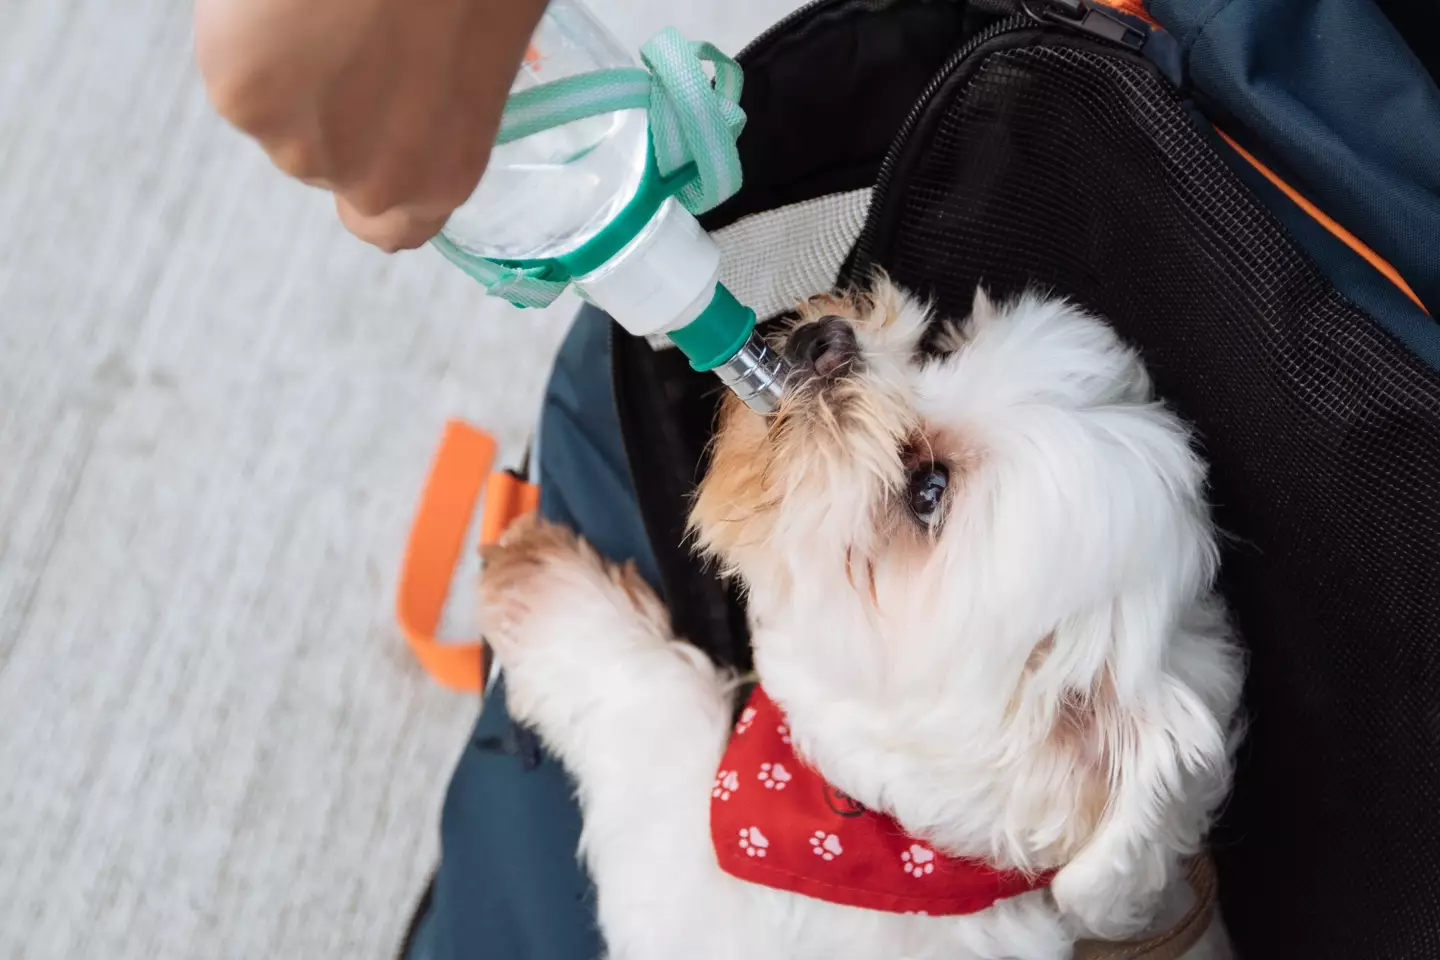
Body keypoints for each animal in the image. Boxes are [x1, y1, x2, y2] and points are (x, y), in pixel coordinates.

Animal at [480, 279, 1238, 960]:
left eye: (928, 491)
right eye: (939, 349)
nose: (827, 342)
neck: (877, 838)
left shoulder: (690, 902)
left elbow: (654, 720)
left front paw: (546, 587)